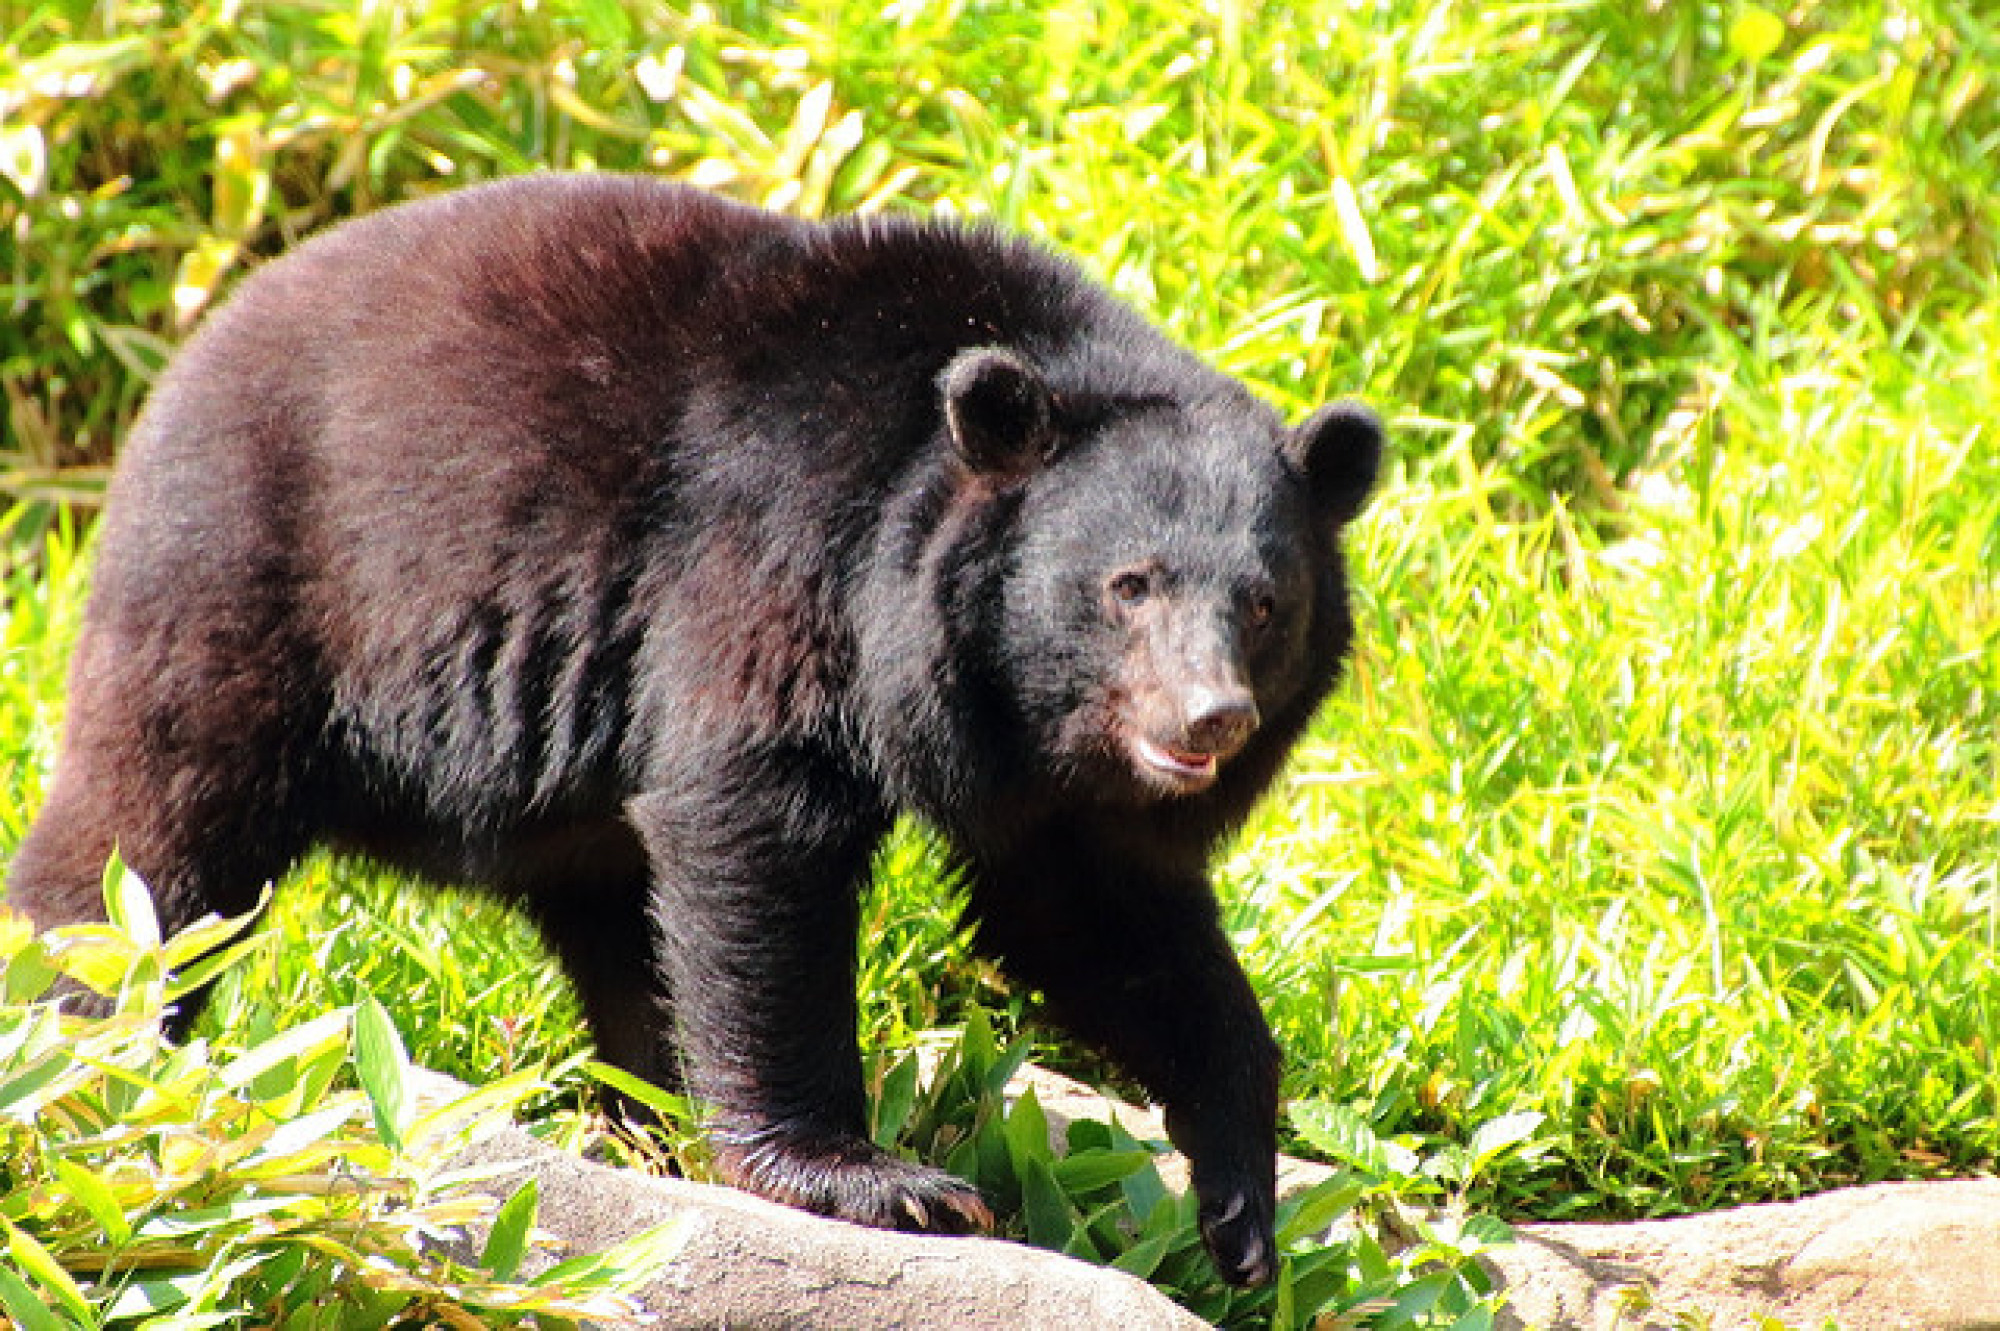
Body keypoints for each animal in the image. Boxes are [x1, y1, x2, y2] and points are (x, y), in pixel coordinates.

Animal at [15, 170, 1384, 1279]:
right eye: (1128, 585)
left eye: (1265, 602)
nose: (1208, 719)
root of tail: (185, 361)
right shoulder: (778, 556)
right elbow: (754, 826)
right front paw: (886, 1182)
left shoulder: (1059, 779)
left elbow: (1093, 912)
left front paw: (1239, 1207)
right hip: (251, 582)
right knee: (153, 832)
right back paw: (82, 1041)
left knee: (617, 922)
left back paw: (649, 1108)